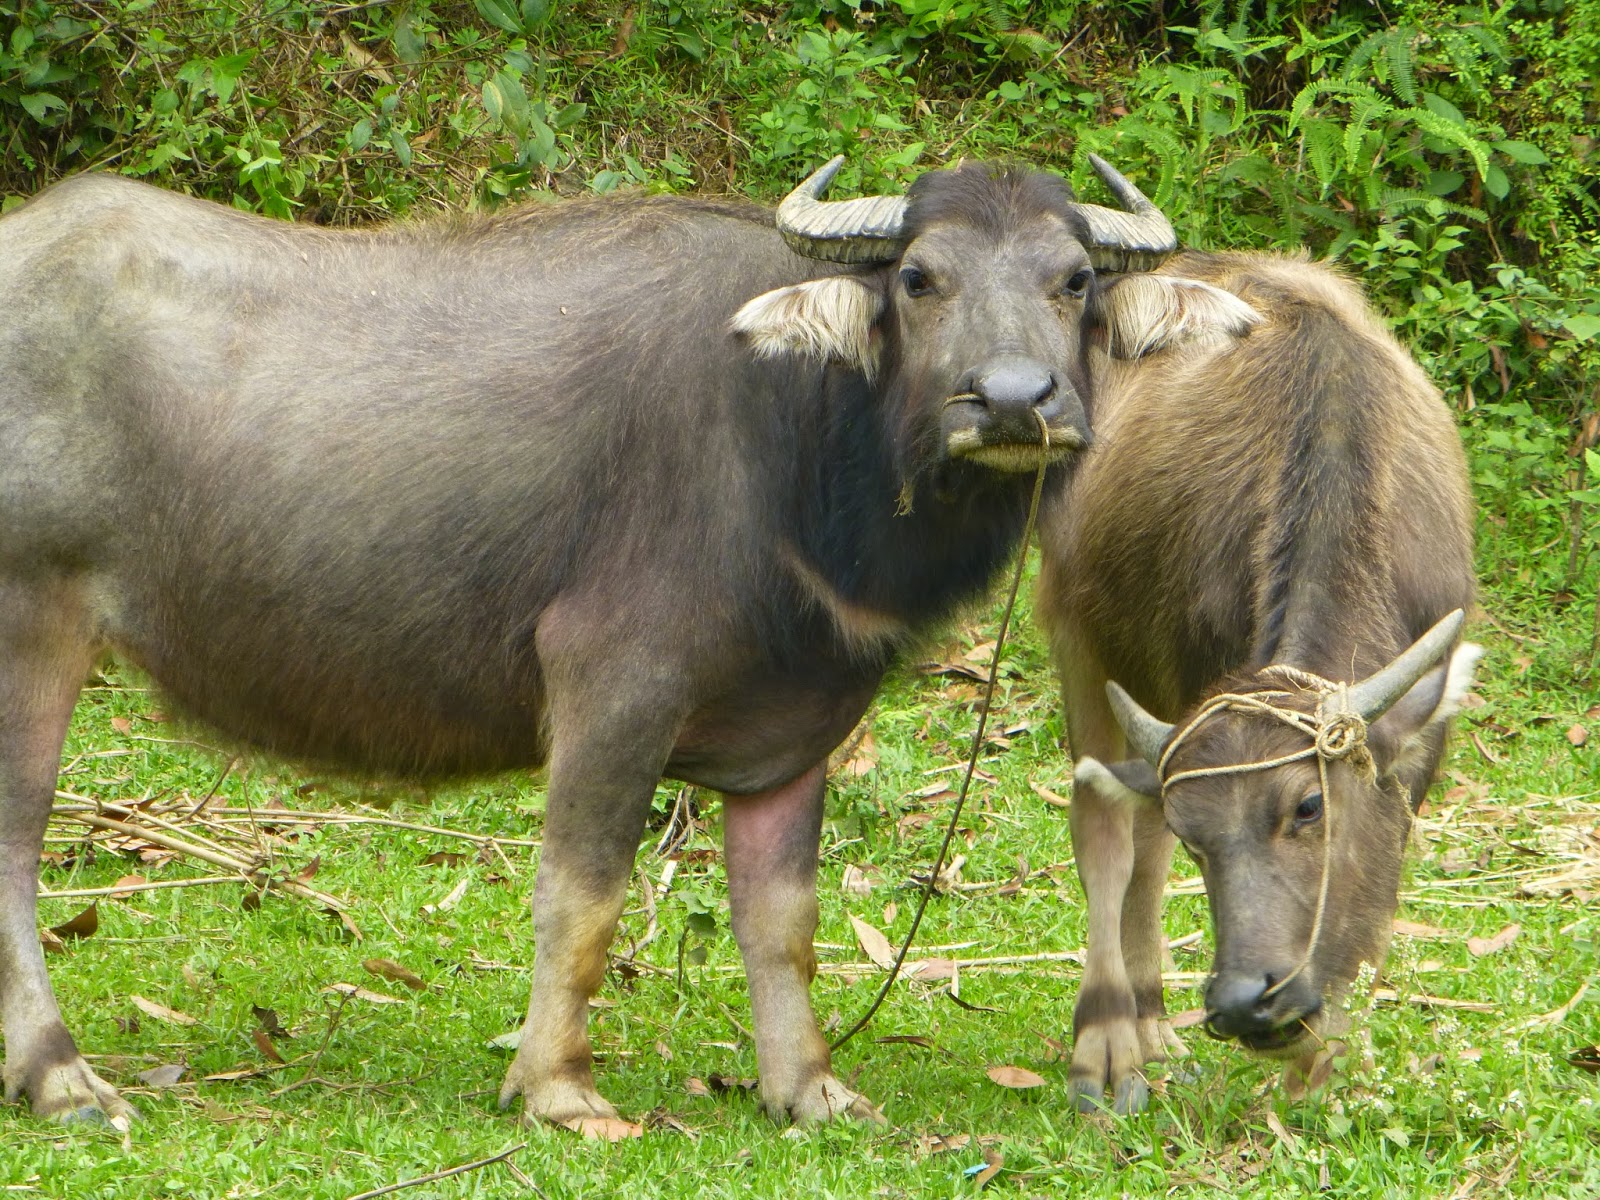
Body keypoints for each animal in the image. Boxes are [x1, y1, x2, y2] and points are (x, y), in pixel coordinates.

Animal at [0, 157, 1260, 1128]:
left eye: (1074, 279)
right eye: (918, 277)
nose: (1010, 402)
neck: (799, 438)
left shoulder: (797, 722)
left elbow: (783, 922)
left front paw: (808, 1087)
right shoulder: (613, 683)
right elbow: (584, 893)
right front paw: (557, 1088)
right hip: (31, 624)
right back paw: (62, 1079)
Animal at [1036, 250, 1480, 1114]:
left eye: (1308, 806)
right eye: (1200, 838)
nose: (1245, 1002)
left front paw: (1322, 1069)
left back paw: (1151, 1017)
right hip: (1082, 636)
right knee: (1108, 832)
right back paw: (1112, 1040)